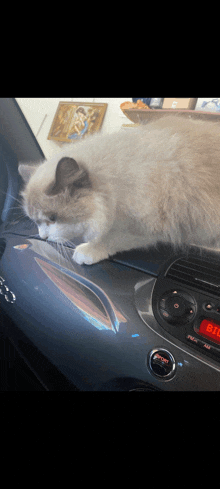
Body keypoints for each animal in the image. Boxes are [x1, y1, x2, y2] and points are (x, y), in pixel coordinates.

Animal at [18, 113, 220, 264]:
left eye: (53, 218)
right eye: (35, 221)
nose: (43, 238)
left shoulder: (143, 227)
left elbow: (110, 239)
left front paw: (87, 251)